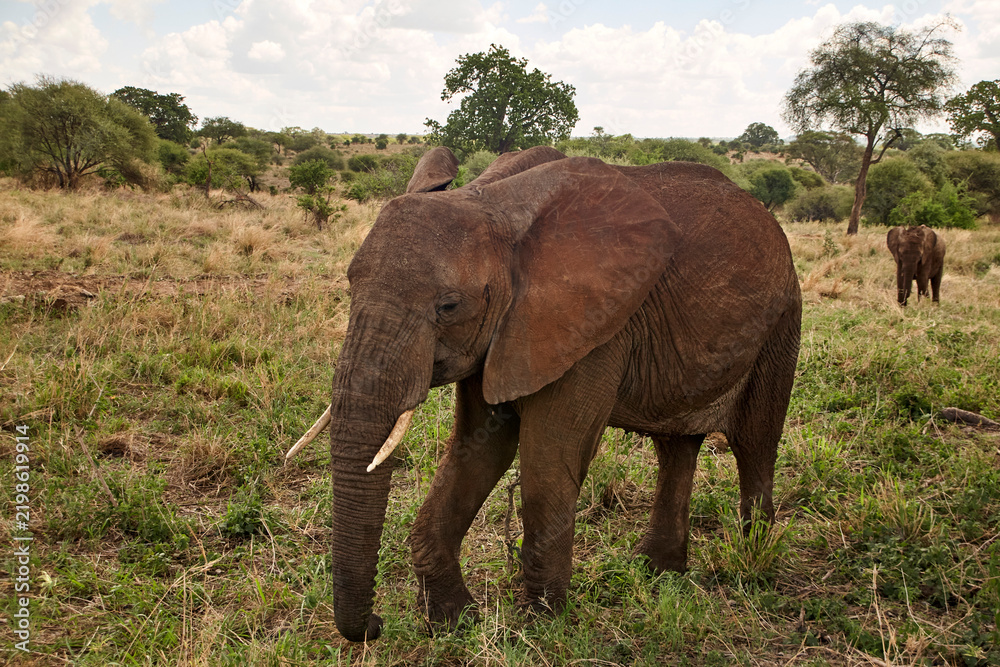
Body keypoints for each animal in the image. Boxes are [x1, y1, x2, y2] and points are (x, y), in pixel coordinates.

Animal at [288, 146, 802, 642]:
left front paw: (538, 624)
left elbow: (549, 461)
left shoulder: (593, 327)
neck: (489, 201)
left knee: (755, 442)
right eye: (349, 285)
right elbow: (477, 452)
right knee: (676, 447)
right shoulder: (504, 333)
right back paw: (659, 574)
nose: (376, 625)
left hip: (783, 319)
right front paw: (454, 622)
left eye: (448, 306)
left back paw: (750, 566)